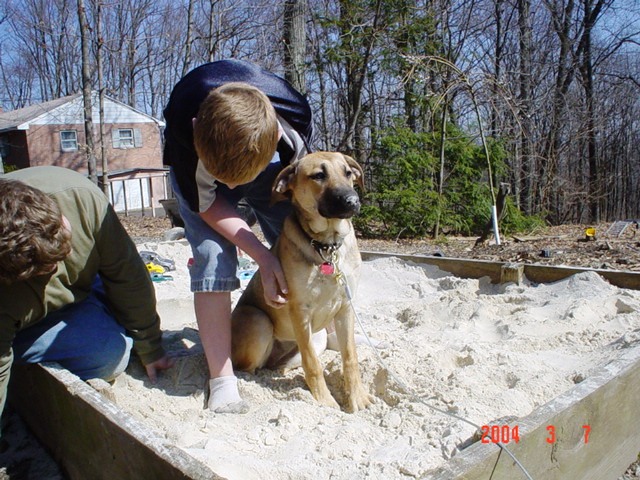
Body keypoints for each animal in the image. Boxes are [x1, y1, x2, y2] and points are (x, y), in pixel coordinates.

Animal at [230, 151, 372, 412]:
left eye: (348, 173)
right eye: (318, 175)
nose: (352, 201)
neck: (327, 245)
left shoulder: (345, 308)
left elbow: (350, 357)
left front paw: (357, 398)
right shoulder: (300, 311)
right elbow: (313, 365)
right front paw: (325, 402)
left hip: (319, 337)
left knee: (281, 367)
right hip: (259, 320)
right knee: (248, 369)